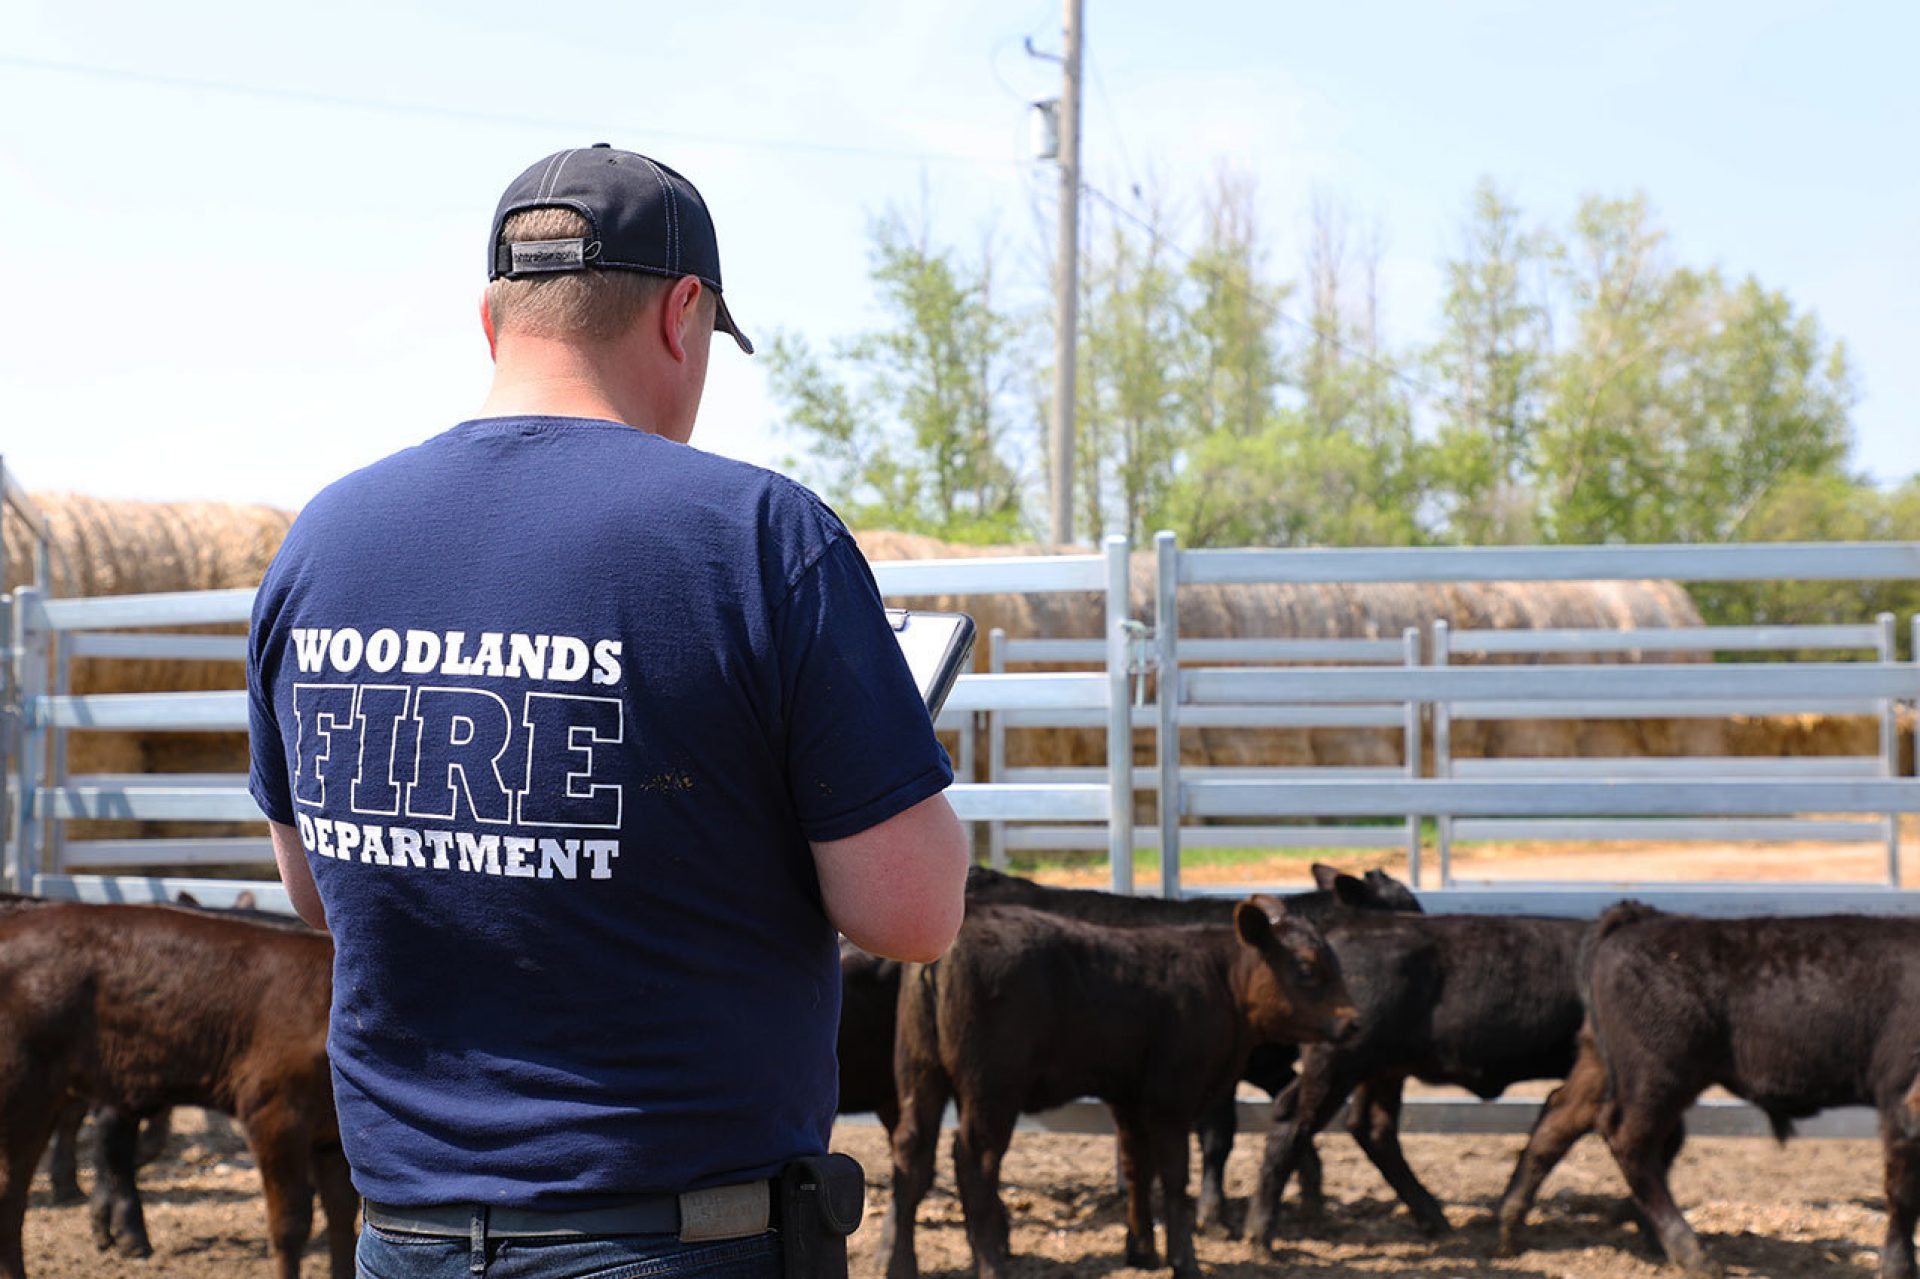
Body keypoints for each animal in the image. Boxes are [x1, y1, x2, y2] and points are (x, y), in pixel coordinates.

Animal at [879, 894, 1359, 1275]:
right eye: (1305, 966)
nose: (1354, 1022)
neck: (1219, 979)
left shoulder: (1128, 1100)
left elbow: (1137, 1168)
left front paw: (1142, 1251)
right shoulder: (1170, 1100)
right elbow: (1173, 1178)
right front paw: (1184, 1261)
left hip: (919, 1071)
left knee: (912, 1151)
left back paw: (900, 1264)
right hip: (991, 1087)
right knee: (974, 1159)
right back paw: (992, 1264)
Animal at [1236, 906, 1582, 1244]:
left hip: (1379, 1069)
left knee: (1371, 1128)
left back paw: (1433, 1220)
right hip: (1337, 1064)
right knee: (1295, 1121)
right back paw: (1260, 1233)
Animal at [1528, 902, 1920, 1267]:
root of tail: (1645, 917)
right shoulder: (1900, 1104)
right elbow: (1902, 1193)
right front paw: (1898, 1266)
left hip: (1602, 1064)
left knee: (1559, 1120)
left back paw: (1515, 1226)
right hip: (1657, 1079)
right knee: (1630, 1143)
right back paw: (1692, 1254)